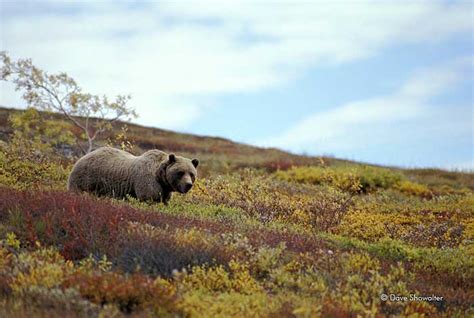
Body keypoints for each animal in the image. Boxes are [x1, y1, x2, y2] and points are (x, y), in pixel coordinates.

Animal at [67, 147, 199, 204]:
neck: (159, 176)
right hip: (86, 178)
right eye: (180, 172)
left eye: (192, 174)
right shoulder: (147, 181)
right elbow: (149, 197)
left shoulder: (165, 189)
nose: (188, 184)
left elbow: (164, 200)